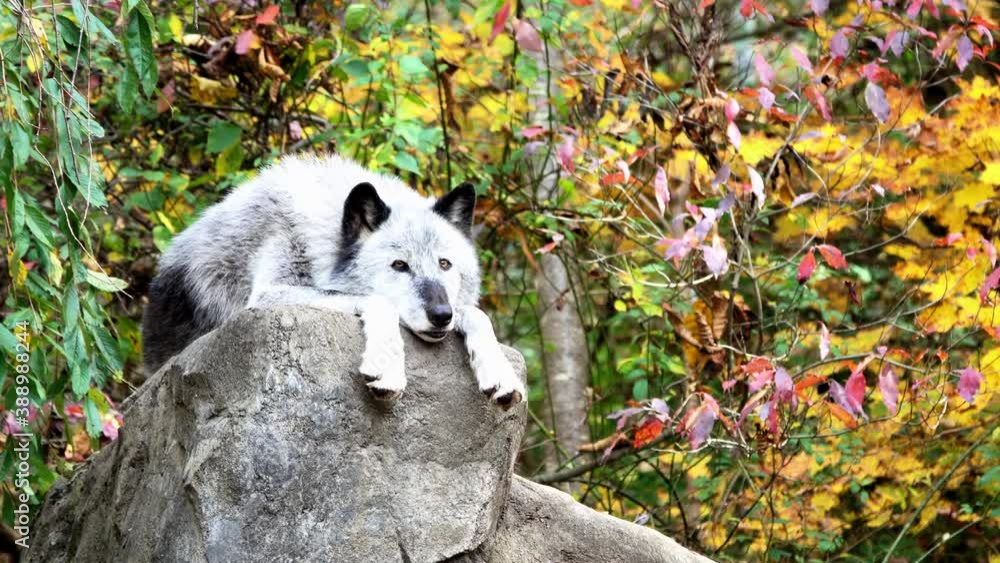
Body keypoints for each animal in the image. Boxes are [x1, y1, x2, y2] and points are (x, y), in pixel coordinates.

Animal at [141, 154, 525, 407]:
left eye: (445, 264)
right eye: (399, 265)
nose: (442, 315)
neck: (321, 238)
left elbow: (478, 314)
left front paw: (500, 371)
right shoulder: (267, 295)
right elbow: (380, 302)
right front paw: (386, 366)